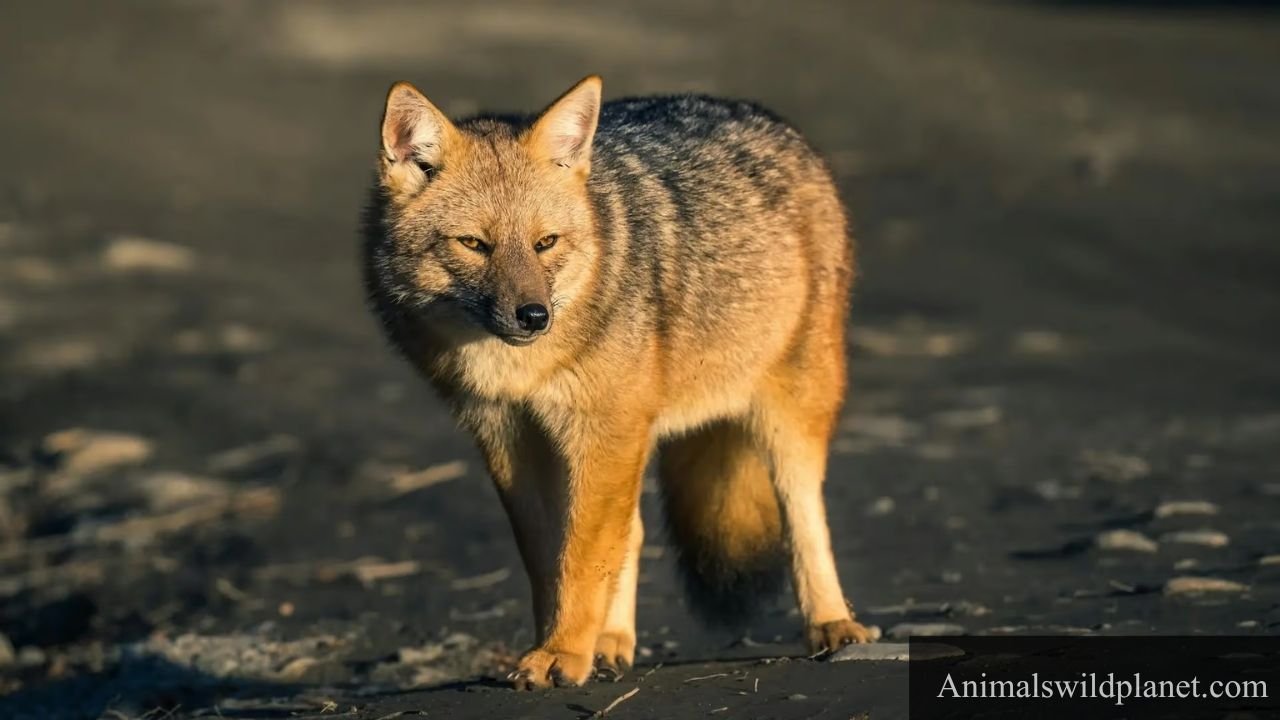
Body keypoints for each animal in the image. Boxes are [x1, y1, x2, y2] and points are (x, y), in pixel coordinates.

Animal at [363, 75, 871, 690]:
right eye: (475, 244)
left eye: (546, 243)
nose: (533, 316)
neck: (520, 370)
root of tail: (757, 113)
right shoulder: (509, 438)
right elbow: (553, 559)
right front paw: (560, 645)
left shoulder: (600, 431)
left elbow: (582, 558)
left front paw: (561, 652)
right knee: (633, 532)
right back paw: (611, 644)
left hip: (787, 413)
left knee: (803, 515)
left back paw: (833, 623)